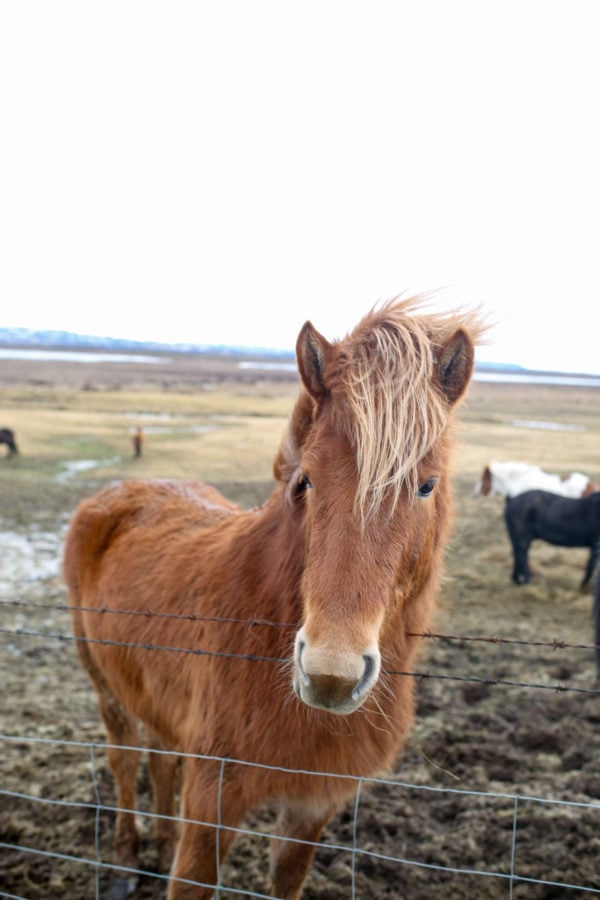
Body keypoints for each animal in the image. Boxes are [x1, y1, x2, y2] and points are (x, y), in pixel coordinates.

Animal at [63, 297, 483, 899]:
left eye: (426, 485)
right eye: (306, 479)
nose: (331, 676)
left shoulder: (312, 807)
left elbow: (286, 878)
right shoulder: (212, 801)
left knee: (160, 758)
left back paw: (159, 845)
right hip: (104, 686)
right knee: (124, 761)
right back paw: (123, 864)